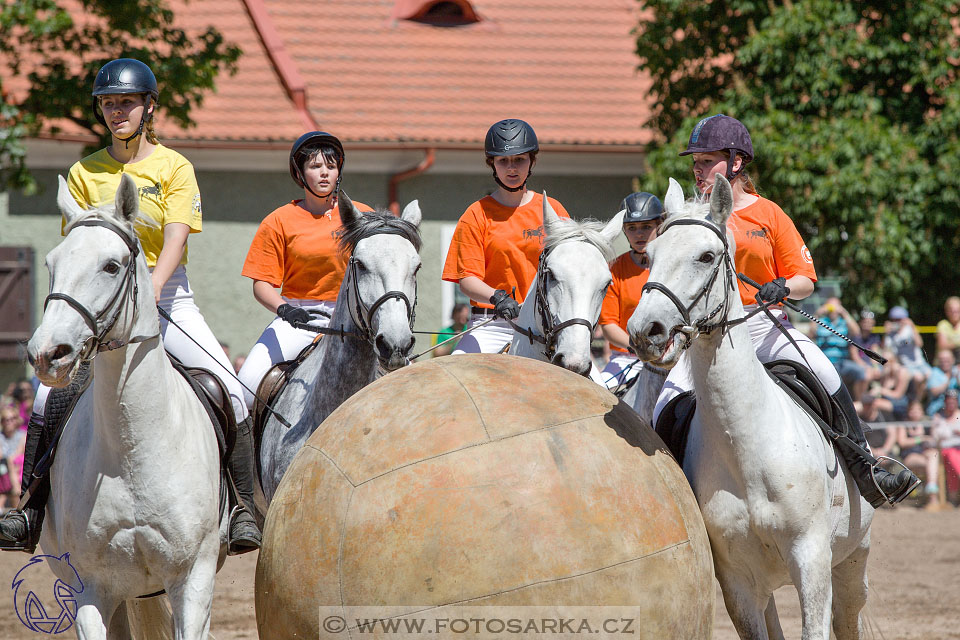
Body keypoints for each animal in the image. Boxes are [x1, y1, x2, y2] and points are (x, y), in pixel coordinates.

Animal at [26, 172, 225, 636]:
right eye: (51, 264)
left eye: (111, 265)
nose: (47, 355)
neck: (133, 447)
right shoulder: (91, 587)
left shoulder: (193, 578)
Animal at [628, 175, 872, 640]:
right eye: (649, 256)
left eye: (707, 256)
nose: (645, 331)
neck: (747, 445)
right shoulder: (737, 581)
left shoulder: (812, 559)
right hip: (766, 585)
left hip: (852, 560)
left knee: (849, 616)